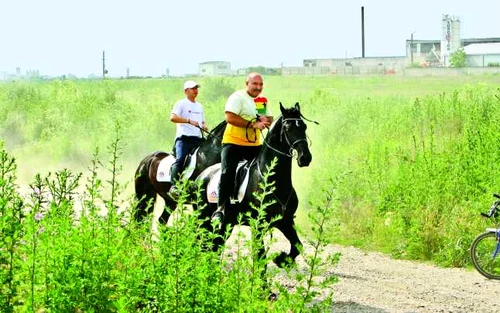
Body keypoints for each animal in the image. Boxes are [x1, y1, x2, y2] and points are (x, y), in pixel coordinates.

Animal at [194, 102, 314, 266]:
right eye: (288, 128)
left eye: (304, 126)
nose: (305, 157)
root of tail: (200, 176)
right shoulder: (258, 225)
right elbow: (260, 259)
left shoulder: (286, 221)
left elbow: (297, 246)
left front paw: (281, 259)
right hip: (203, 218)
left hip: (227, 223)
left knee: (214, 246)